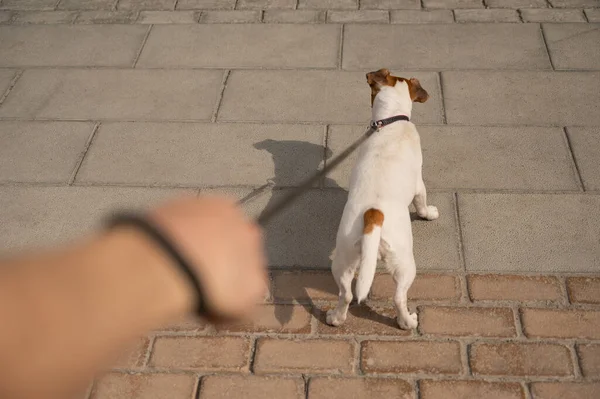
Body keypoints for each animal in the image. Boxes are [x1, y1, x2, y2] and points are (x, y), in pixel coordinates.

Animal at [326, 69, 438, 332]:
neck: (390, 122)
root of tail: (373, 214)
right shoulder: (419, 183)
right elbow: (422, 202)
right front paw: (429, 213)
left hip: (343, 260)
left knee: (346, 294)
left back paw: (335, 318)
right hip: (404, 262)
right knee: (398, 296)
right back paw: (407, 322)